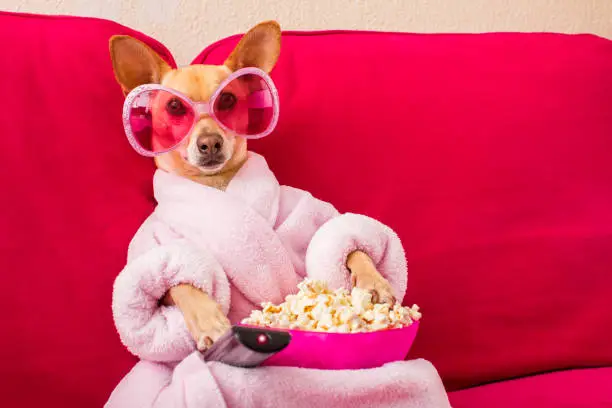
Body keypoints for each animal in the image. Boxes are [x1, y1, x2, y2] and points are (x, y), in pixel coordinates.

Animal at [109, 20, 396, 350]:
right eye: (175, 107)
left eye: (227, 100)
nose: (210, 142)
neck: (218, 185)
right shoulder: (156, 252)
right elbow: (181, 283)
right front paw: (210, 321)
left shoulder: (310, 219)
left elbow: (348, 244)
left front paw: (374, 281)